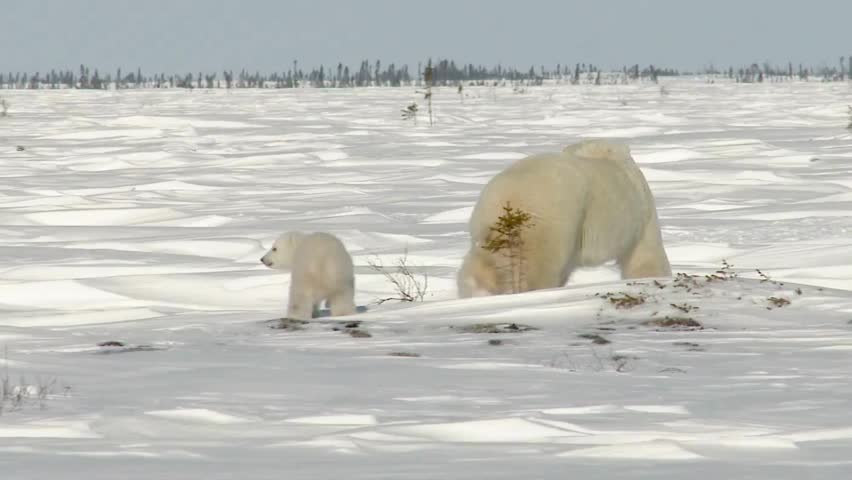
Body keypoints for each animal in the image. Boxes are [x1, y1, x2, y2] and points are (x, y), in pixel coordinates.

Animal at [457, 139, 671, 298]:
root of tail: (512, 196)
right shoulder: (641, 209)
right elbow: (646, 254)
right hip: (551, 224)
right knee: (540, 268)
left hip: (486, 228)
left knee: (479, 267)